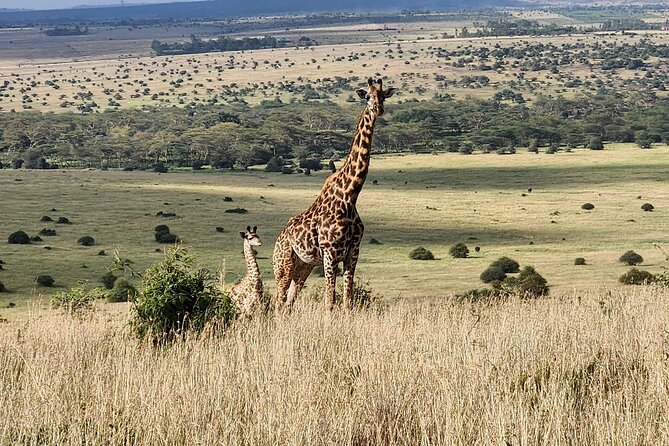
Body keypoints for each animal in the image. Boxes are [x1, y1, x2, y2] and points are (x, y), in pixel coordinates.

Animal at [273, 78, 396, 312]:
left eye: (383, 95)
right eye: (367, 96)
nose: (378, 109)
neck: (350, 195)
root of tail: (279, 237)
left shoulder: (353, 252)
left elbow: (348, 301)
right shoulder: (330, 253)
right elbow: (329, 301)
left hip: (304, 266)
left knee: (289, 301)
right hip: (283, 264)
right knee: (278, 300)